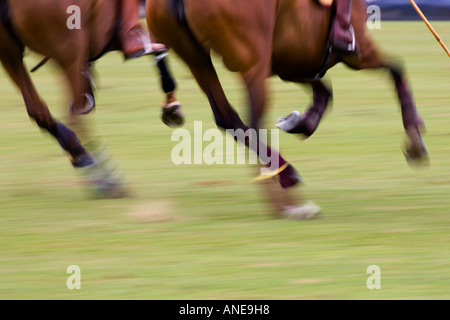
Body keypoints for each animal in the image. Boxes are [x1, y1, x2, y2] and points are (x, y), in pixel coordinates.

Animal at [1, 0, 181, 198]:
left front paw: (171, 106)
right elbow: (157, 44)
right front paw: (171, 106)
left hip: (12, 53)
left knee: (39, 111)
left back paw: (81, 156)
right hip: (69, 50)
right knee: (73, 114)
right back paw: (106, 178)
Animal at [147, 0, 428, 219]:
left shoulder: (292, 61)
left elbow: (324, 91)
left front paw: (298, 122)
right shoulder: (358, 53)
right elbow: (396, 70)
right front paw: (415, 141)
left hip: (196, 58)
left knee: (228, 117)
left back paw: (285, 182)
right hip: (252, 61)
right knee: (254, 123)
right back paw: (287, 202)